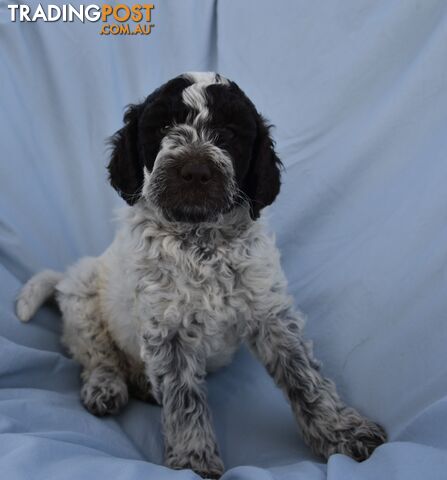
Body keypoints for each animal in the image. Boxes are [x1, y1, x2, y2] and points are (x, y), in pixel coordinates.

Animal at [17, 72, 386, 480]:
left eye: (228, 133)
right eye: (164, 127)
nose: (195, 171)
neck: (201, 240)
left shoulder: (270, 312)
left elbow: (305, 377)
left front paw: (343, 432)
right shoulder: (169, 330)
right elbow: (183, 400)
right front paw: (193, 461)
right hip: (81, 292)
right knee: (98, 355)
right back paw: (105, 386)